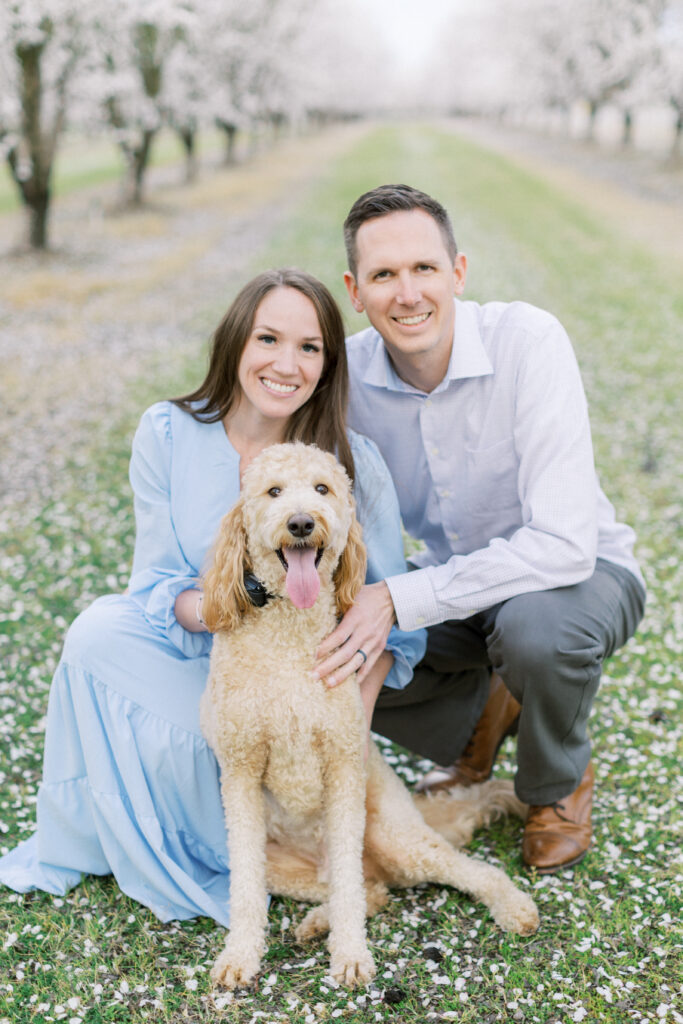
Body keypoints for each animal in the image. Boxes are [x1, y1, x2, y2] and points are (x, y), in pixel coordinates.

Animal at [200, 442, 540, 991]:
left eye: (323, 489)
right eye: (273, 491)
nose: (301, 522)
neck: (289, 639)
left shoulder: (342, 767)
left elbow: (349, 885)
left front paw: (351, 957)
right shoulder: (241, 775)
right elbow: (247, 891)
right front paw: (240, 956)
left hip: (398, 839)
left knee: (447, 873)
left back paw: (514, 907)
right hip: (284, 865)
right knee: (369, 889)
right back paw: (318, 923)